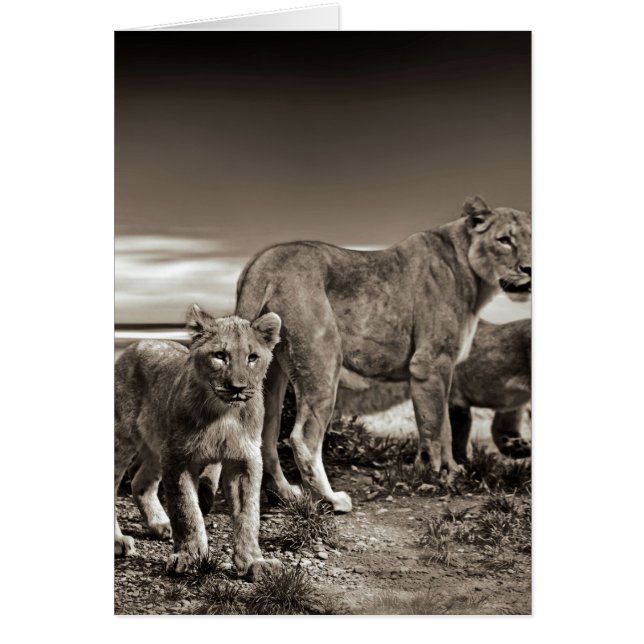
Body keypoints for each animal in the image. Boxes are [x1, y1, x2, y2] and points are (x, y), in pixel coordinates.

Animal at [114, 304, 282, 580]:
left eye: (252, 357)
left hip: (157, 442)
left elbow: (249, 514)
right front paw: (190, 557)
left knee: (140, 481)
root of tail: (138, 343)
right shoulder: (178, 458)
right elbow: (187, 510)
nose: (237, 387)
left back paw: (160, 523)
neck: (223, 414)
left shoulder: (245, 459)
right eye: (220, 355)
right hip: (123, 439)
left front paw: (253, 561)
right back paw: (118, 541)